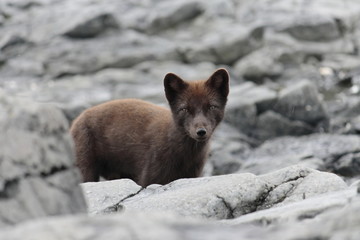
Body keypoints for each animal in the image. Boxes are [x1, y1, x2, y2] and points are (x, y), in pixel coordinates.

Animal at [69, 68, 228, 187]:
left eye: (212, 106)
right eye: (184, 109)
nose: (201, 131)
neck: (184, 157)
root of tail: (76, 120)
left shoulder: (192, 175)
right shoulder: (150, 175)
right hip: (84, 163)